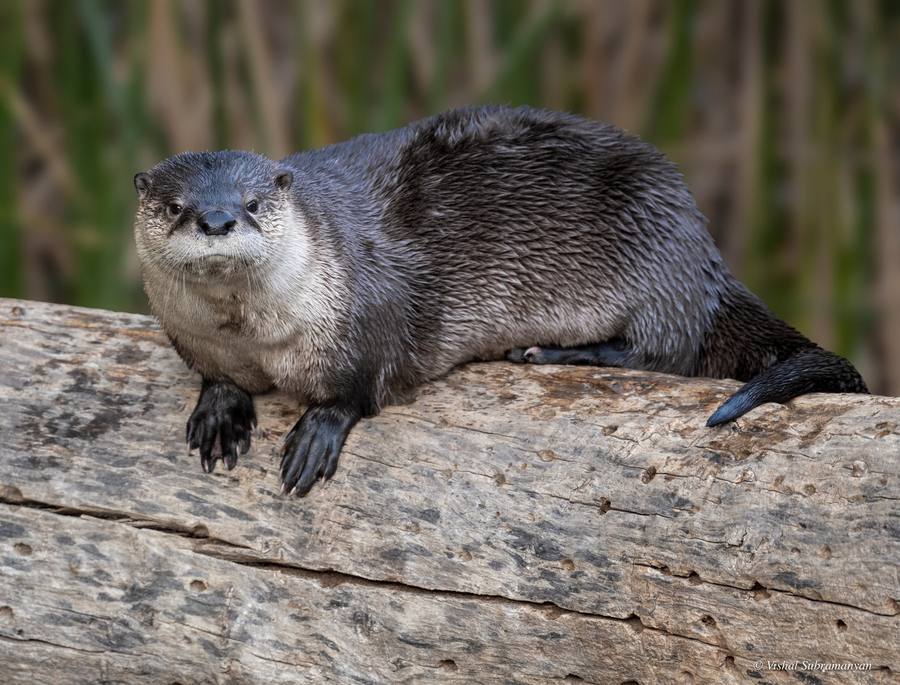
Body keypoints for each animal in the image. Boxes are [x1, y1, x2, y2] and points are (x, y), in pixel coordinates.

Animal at [133, 106, 868, 496]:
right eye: (174, 206)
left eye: (255, 202)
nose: (218, 219)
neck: (251, 334)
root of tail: (703, 251)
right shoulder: (196, 339)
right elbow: (216, 377)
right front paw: (221, 408)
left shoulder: (371, 313)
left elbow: (362, 387)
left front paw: (319, 430)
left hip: (652, 243)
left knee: (668, 350)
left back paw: (558, 352)